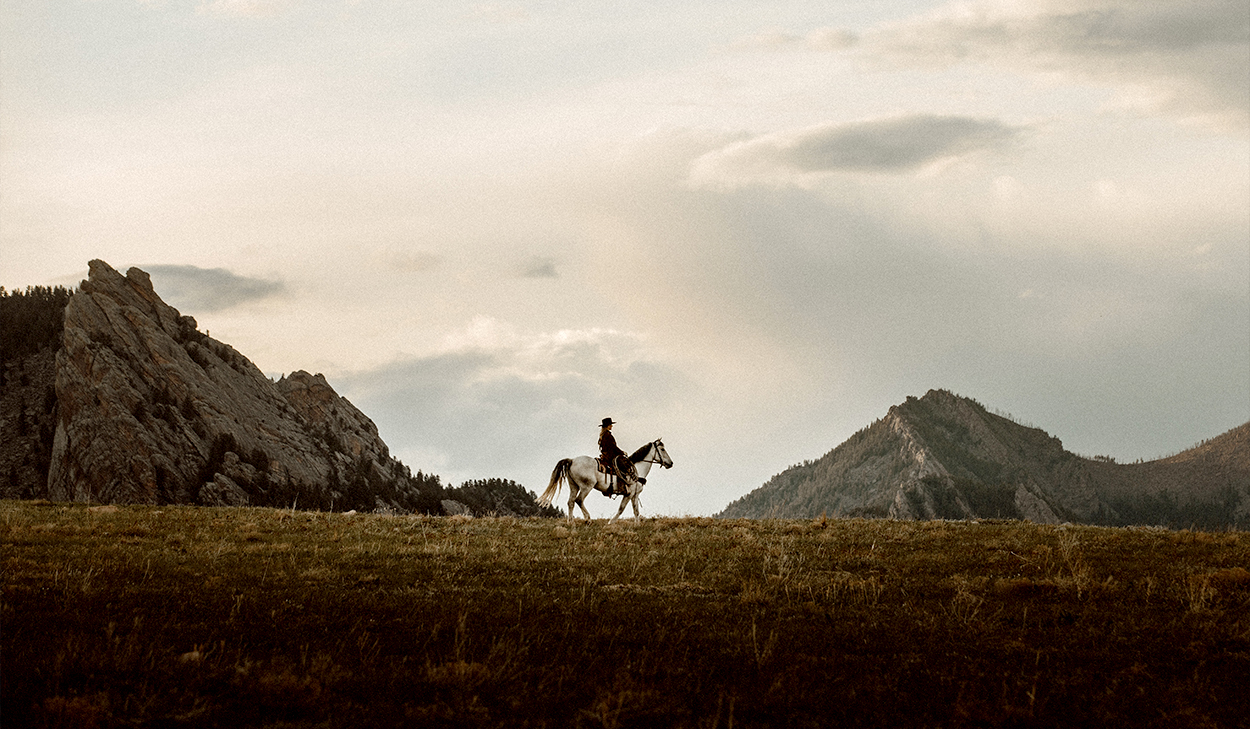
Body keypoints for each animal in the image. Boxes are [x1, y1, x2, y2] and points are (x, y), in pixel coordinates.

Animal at [540, 442, 675, 522]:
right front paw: (611, 522)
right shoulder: (629, 494)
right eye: (662, 449)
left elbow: (636, 511)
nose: (671, 463)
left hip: (574, 486)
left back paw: (570, 522)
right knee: (579, 500)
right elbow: (621, 509)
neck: (637, 470)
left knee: (571, 502)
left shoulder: (635, 495)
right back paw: (588, 519)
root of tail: (572, 460)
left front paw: (638, 525)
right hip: (586, 486)